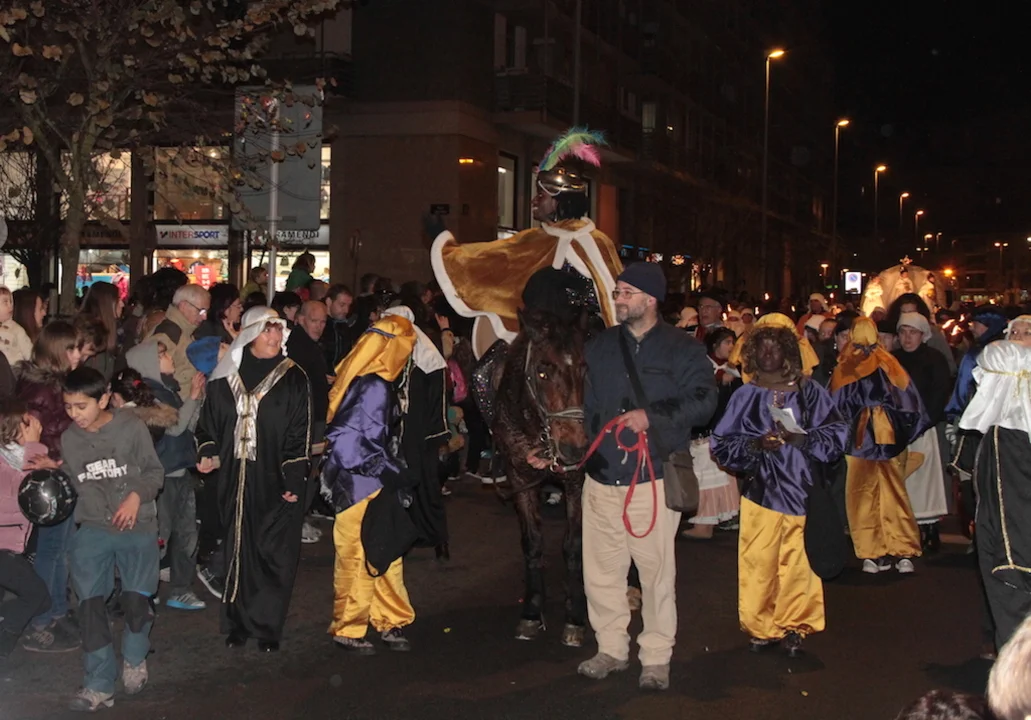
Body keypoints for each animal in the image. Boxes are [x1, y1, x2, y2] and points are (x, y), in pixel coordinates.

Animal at [492, 307, 590, 647]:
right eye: (542, 372)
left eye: (585, 367)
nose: (574, 448)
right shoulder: (521, 481)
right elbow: (532, 543)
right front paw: (532, 612)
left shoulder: (576, 483)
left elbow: (573, 545)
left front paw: (575, 616)